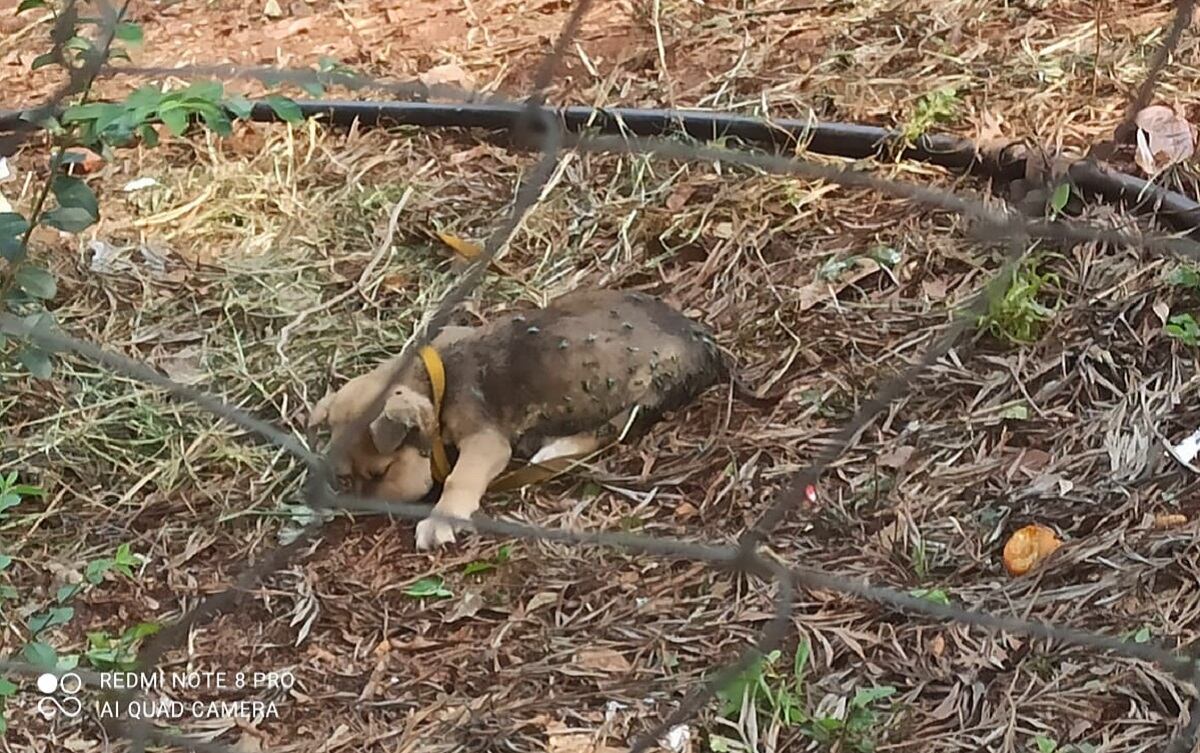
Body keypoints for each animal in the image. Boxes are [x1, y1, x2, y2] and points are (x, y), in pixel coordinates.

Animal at [307, 285, 777, 549]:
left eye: (381, 471)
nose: (356, 511)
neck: (432, 378)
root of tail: (709, 345)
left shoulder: (486, 441)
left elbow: (460, 478)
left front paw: (441, 520)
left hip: (646, 391)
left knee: (606, 431)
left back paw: (552, 451)